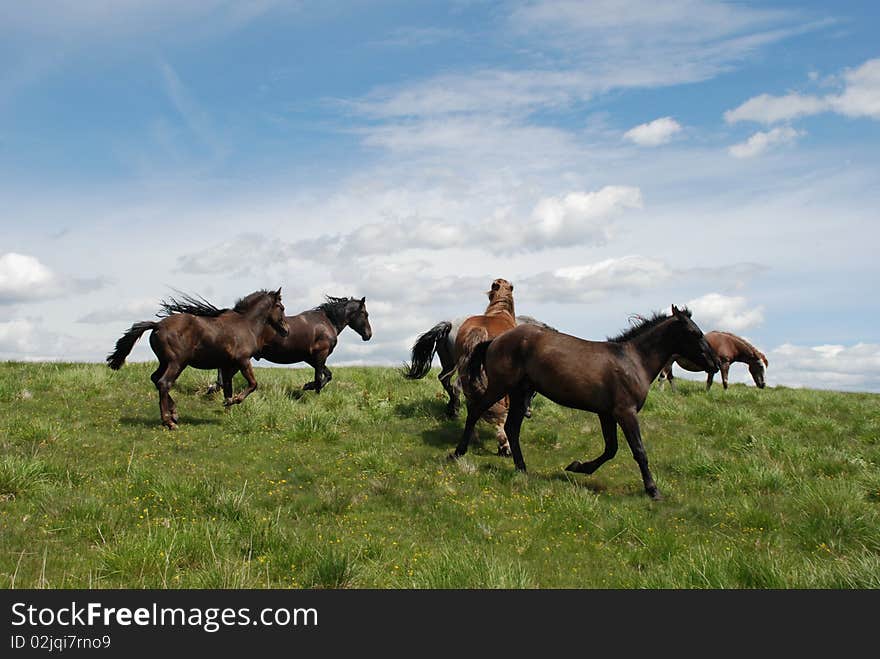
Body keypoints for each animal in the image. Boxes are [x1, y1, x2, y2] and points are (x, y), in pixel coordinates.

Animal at [105, 288, 288, 430]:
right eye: (281, 307)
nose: (286, 330)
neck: (246, 324)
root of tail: (157, 325)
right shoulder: (242, 361)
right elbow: (253, 384)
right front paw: (236, 400)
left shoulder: (227, 365)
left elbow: (227, 388)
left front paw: (228, 406)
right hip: (177, 363)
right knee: (164, 383)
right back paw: (169, 422)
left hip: (165, 362)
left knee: (155, 379)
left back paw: (174, 413)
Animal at [400, 314, 552, 418]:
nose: (528, 413)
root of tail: (450, 325)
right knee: (455, 385)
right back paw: (455, 411)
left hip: (450, 364)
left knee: (444, 379)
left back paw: (451, 408)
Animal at [450, 306, 720, 498]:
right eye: (695, 333)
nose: (715, 364)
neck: (632, 361)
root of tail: (494, 341)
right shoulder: (625, 412)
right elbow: (638, 451)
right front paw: (653, 490)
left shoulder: (607, 414)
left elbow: (611, 449)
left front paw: (577, 466)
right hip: (500, 386)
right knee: (475, 410)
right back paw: (458, 453)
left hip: (519, 393)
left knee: (511, 428)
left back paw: (522, 468)